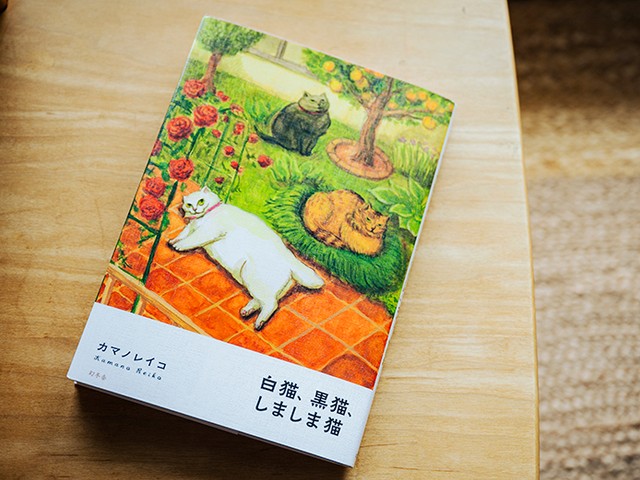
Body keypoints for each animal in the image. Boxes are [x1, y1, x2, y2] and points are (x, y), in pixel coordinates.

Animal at [169, 187, 324, 330]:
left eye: (201, 201)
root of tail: (291, 260)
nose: (195, 209)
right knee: (265, 300)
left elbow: (192, 239)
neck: (202, 218)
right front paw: (172, 241)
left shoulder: (210, 231)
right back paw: (247, 311)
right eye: (189, 204)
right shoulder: (191, 227)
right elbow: (184, 233)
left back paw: (259, 322)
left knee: (271, 304)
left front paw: (179, 246)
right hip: (255, 281)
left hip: (253, 277)